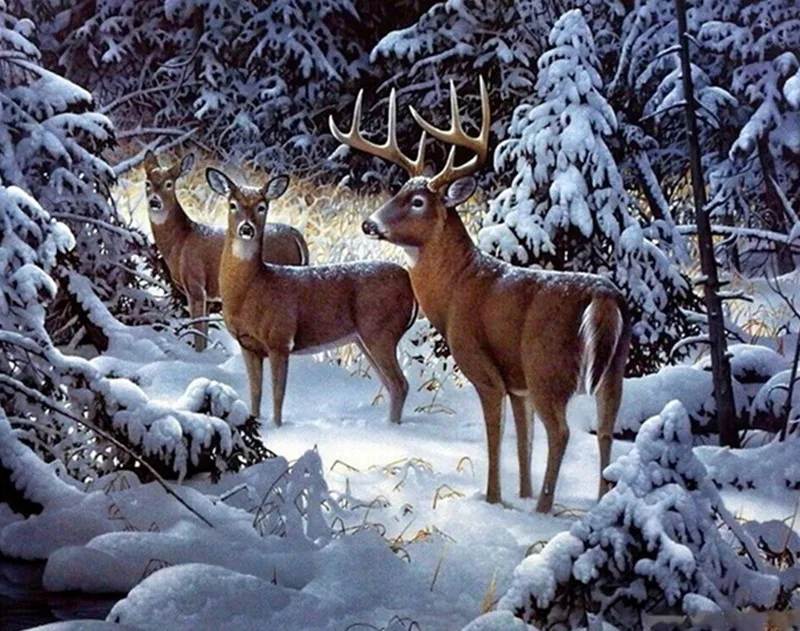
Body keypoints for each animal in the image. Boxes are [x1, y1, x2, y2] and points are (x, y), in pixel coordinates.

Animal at [142, 150, 309, 351]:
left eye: (169, 184)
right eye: (147, 183)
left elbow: (198, 334)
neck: (180, 241)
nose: (154, 201)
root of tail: (297, 235)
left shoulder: (196, 284)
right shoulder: (209, 297)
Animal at [206, 167, 418, 427]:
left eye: (262, 206)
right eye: (233, 204)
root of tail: (409, 283)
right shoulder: (248, 345)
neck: (253, 289)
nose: (247, 229)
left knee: (400, 384)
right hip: (364, 338)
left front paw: (277, 428)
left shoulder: (280, 339)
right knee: (392, 385)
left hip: (382, 331)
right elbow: (255, 393)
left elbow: (278, 395)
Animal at [330, 78, 631, 513]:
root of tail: (605, 297)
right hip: (613, 369)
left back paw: (543, 510)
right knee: (605, 430)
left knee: (561, 432)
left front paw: (494, 500)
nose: (369, 223)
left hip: (548, 366)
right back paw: (599, 502)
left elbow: (496, 436)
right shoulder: (518, 382)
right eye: (397, 192)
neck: (458, 288)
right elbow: (523, 441)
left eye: (417, 202)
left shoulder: (484, 367)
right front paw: (521, 493)